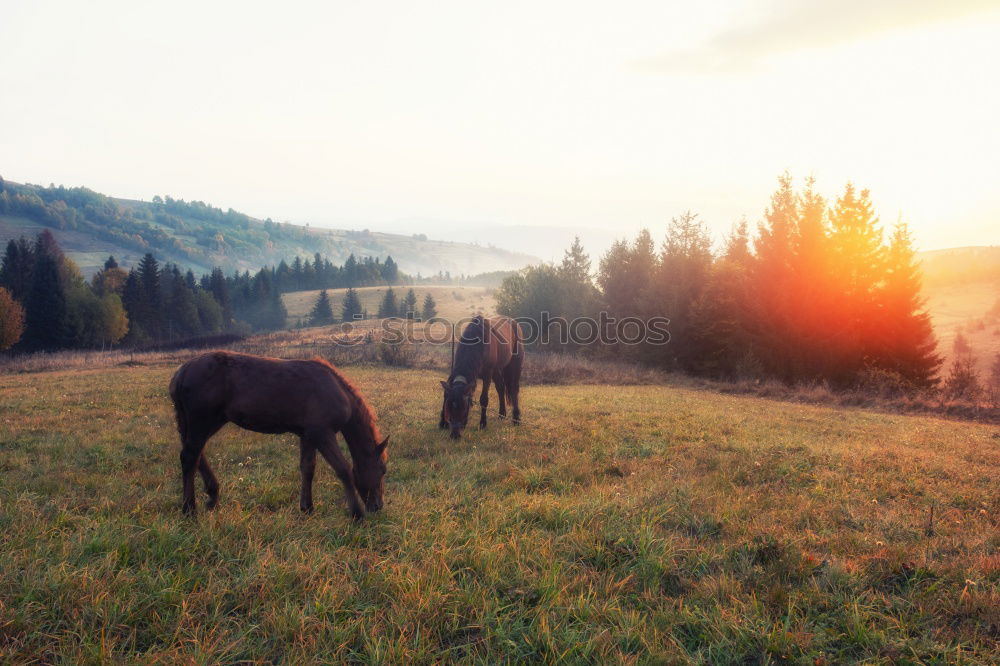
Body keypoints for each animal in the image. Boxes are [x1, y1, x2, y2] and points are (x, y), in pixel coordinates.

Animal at [168, 350, 386, 516]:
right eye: (383, 470)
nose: (377, 506)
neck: (334, 389)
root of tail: (182, 372)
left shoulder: (308, 435)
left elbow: (308, 468)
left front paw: (307, 508)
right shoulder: (323, 433)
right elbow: (343, 469)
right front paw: (356, 513)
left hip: (203, 422)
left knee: (196, 454)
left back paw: (212, 496)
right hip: (202, 422)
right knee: (189, 456)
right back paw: (189, 510)